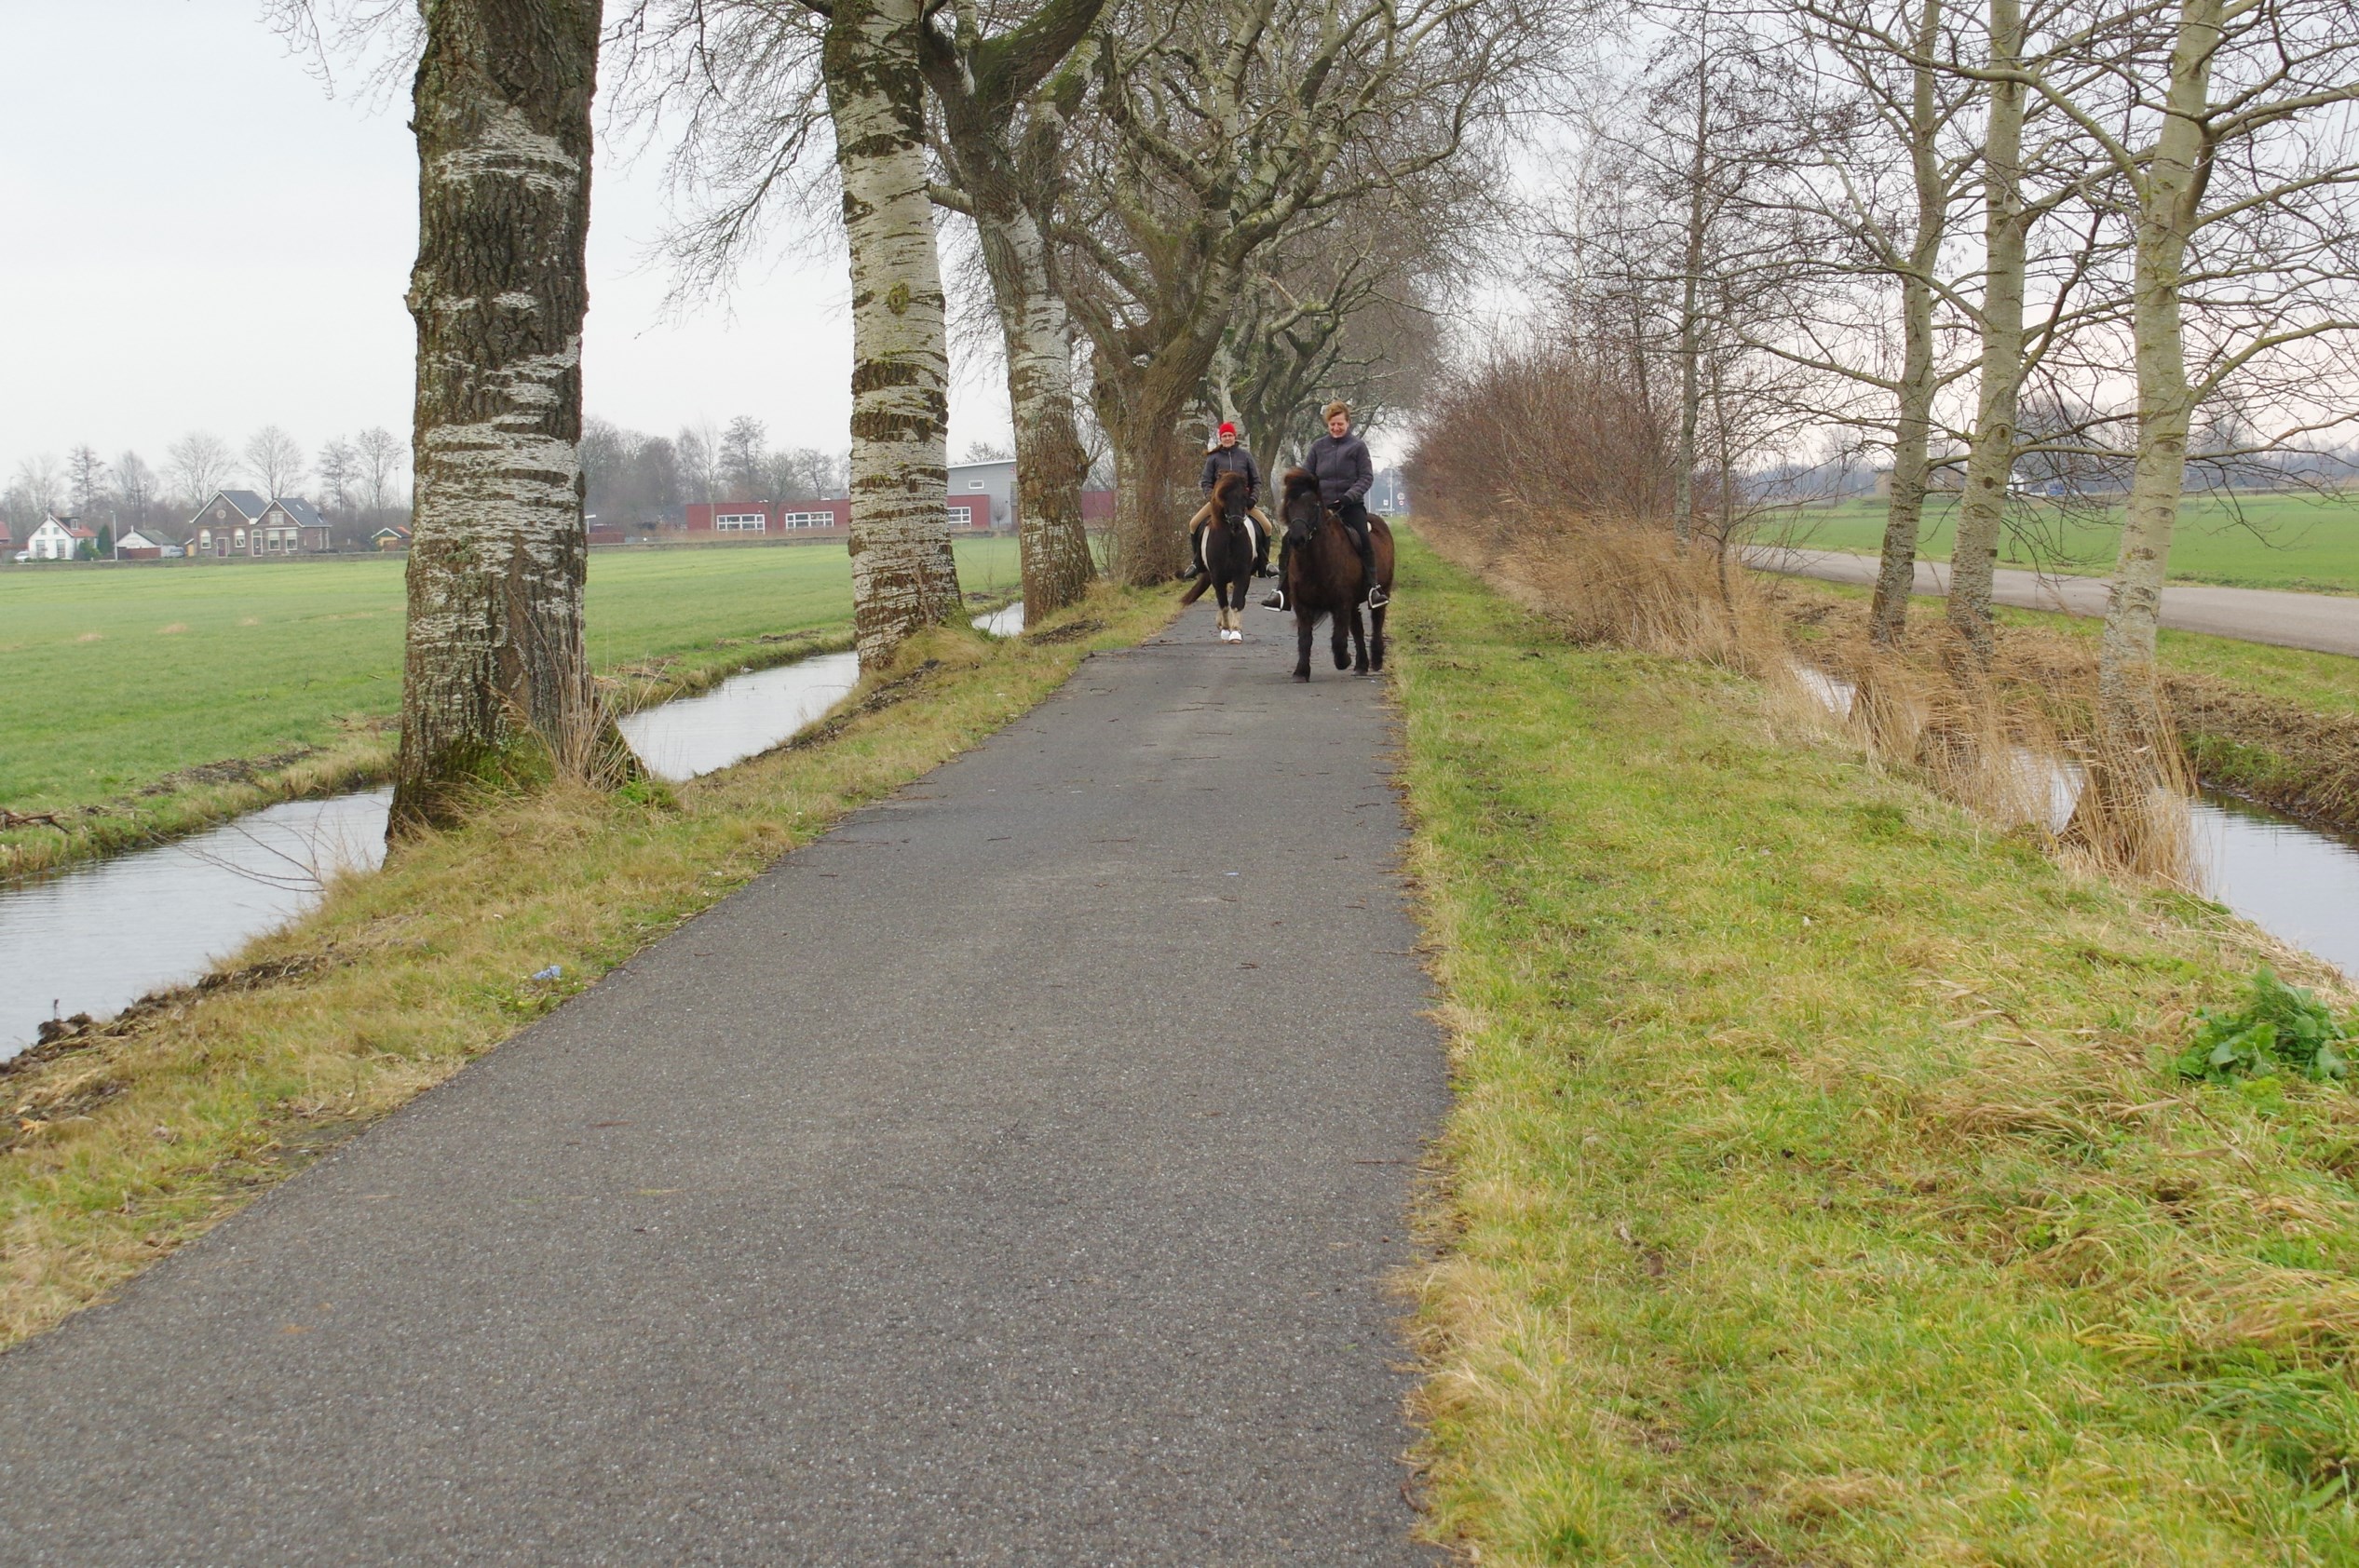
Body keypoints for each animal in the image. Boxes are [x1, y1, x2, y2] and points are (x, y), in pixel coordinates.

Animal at [1174, 466, 1264, 641]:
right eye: (1224, 497)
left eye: (1245, 496)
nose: (1236, 524)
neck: (1229, 539)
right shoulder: (1217, 576)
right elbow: (1223, 604)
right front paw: (1225, 629)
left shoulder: (1242, 574)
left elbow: (1236, 602)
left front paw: (1235, 632)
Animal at [1282, 471, 1387, 679]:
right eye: (1289, 505)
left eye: (1314, 505)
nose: (1297, 539)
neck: (1315, 563)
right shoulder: (1301, 604)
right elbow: (1305, 638)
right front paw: (1301, 672)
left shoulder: (1342, 602)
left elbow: (1338, 638)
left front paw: (1343, 660)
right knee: (1357, 627)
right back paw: (1361, 665)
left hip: (1381, 590)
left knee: (1377, 621)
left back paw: (1376, 660)